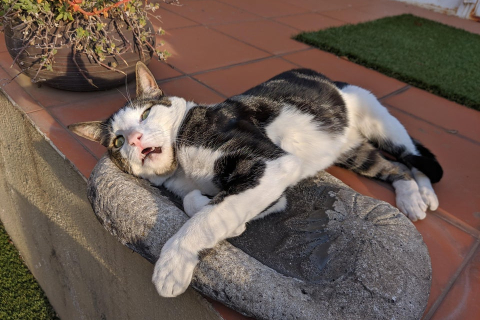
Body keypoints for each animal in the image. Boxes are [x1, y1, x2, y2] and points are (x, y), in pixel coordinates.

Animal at [68, 62, 442, 298]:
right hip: (354, 154)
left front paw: (173, 264)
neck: (181, 164)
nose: (132, 139)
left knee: (411, 159)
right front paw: (232, 219)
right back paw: (417, 197)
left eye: (146, 113)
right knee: (392, 168)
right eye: (116, 141)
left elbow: (207, 217)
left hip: (380, 120)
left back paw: (419, 198)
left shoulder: (272, 162)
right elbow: (203, 203)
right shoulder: (261, 182)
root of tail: (329, 79)